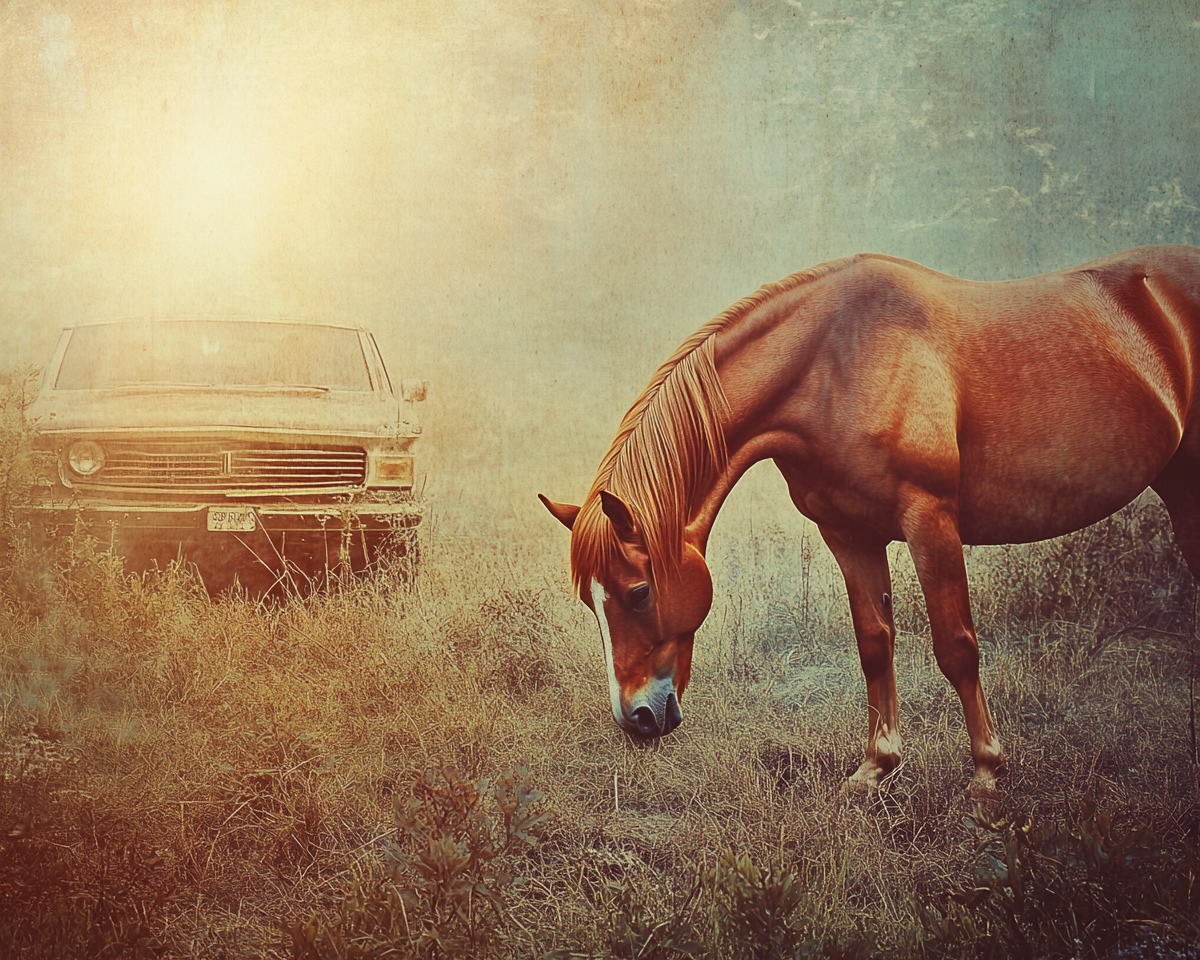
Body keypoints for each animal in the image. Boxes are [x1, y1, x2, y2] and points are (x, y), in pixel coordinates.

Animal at [544, 246, 1200, 796]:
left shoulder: (930, 520)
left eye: (638, 592)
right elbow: (873, 643)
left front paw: (987, 774)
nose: (636, 718)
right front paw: (876, 768)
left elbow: (956, 647)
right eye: (591, 602)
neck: (834, 365)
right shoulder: (849, 535)